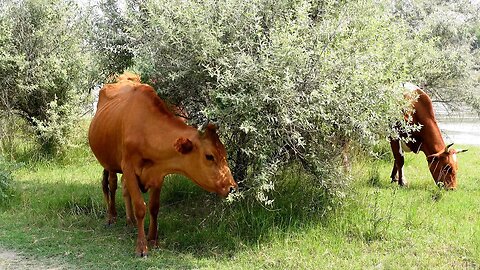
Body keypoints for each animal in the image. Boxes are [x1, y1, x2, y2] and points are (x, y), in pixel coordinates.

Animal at [87, 73, 237, 256]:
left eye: (225, 153)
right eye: (209, 156)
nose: (231, 187)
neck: (146, 129)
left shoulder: (158, 174)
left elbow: (154, 207)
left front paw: (153, 239)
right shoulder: (128, 168)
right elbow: (140, 207)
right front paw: (142, 246)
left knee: (124, 189)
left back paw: (130, 221)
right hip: (109, 163)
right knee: (112, 184)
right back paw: (111, 217)